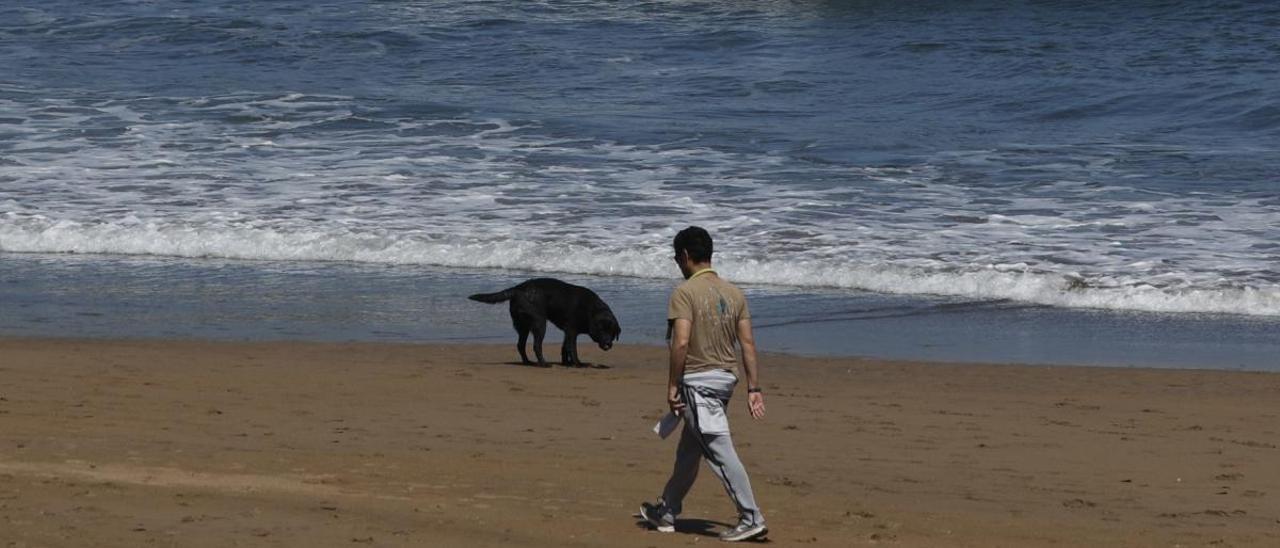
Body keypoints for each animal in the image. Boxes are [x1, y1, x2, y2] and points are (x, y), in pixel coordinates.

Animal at [473, 277, 622, 368]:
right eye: (601, 330)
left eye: (612, 332)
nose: (607, 343)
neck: (590, 310)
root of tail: (518, 288)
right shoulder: (572, 331)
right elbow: (572, 349)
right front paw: (578, 364)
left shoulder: (567, 332)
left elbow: (564, 348)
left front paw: (566, 363)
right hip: (540, 323)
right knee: (536, 346)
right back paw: (544, 364)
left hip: (523, 326)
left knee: (520, 345)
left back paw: (527, 362)